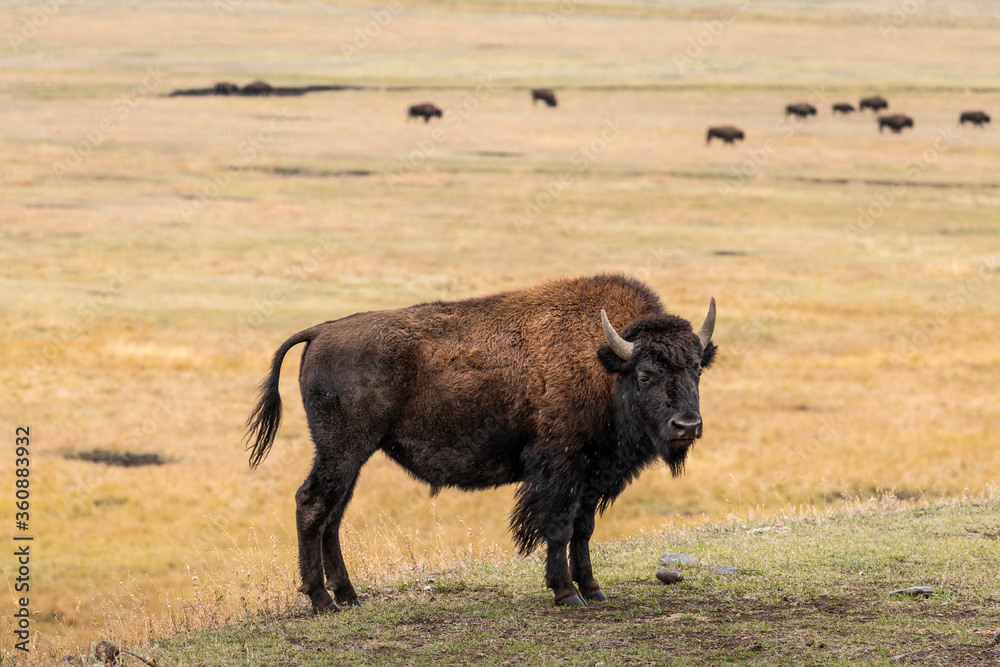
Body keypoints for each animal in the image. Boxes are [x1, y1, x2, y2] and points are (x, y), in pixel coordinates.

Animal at [249, 274, 720, 612]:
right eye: (645, 374)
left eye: (696, 368)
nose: (687, 425)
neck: (603, 361)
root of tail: (321, 331)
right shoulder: (560, 470)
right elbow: (559, 527)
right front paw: (567, 594)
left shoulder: (592, 475)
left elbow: (583, 529)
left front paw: (594, 589)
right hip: (343, 450)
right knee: (312, 504)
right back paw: (322, 601)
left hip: (351, 456)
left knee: (333, 515)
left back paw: (349, 596)